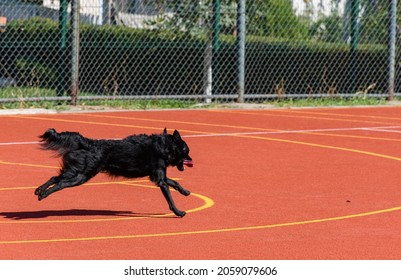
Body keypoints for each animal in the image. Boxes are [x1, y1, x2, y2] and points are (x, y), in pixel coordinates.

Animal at [33, 128, 193, 218]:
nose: (192, 160)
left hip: (76, 171)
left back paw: (39, 190)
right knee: (60, 183)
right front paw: (179, 212)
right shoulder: (160, 180)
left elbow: (174, 182)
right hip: (81, 175)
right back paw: (43, 194)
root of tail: (88, 143)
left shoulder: (157, 176)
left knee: (55, 177)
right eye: (186, 150)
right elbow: (170, 199)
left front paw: (185, 191)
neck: (164, 146)